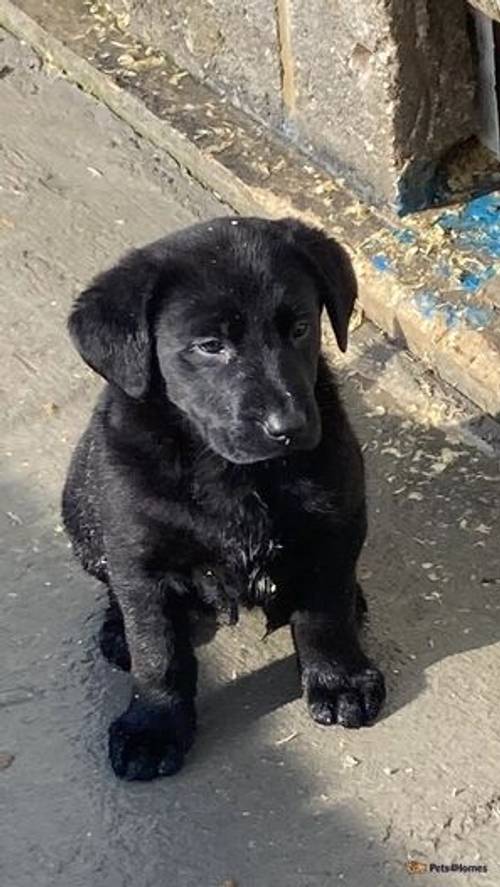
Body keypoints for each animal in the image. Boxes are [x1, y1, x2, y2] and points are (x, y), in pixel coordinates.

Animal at [62, 219, 386, 780]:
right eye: (210, 345)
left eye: (300, 328)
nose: (288, 427)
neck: (232, 474)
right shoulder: (139, 556)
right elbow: (157, 649)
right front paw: (154, 723)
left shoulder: (335, 526)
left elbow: (325, 611)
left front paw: (339, 679)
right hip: (81, 514)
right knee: (116, 591)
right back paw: (117, 628)